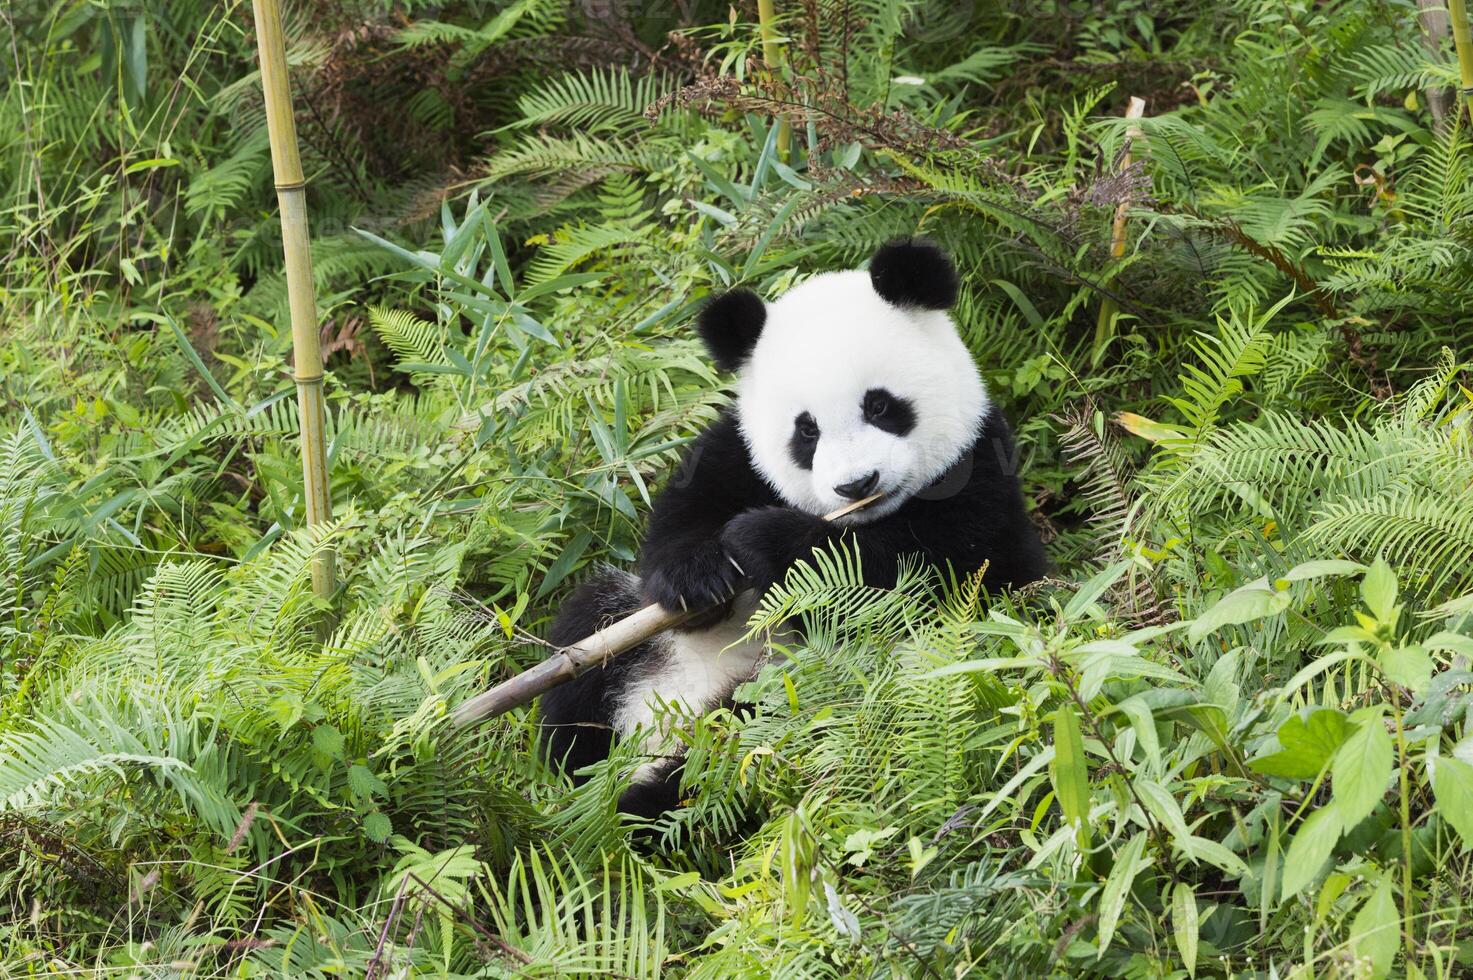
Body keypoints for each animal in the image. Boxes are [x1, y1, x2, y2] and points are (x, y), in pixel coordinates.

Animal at [542, 238, 1048, 819]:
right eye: (806, 431)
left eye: (880, 405)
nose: (857, 484)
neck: (864, 516)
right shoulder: (738, 453)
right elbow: (686, 507)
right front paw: (699, 577)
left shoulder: (980, 472)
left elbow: (919, 570)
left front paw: (764, 541)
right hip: (631, 640)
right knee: (584, 650)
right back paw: (574, 779)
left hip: (804, 694)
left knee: (729, 757)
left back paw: (639, 803)